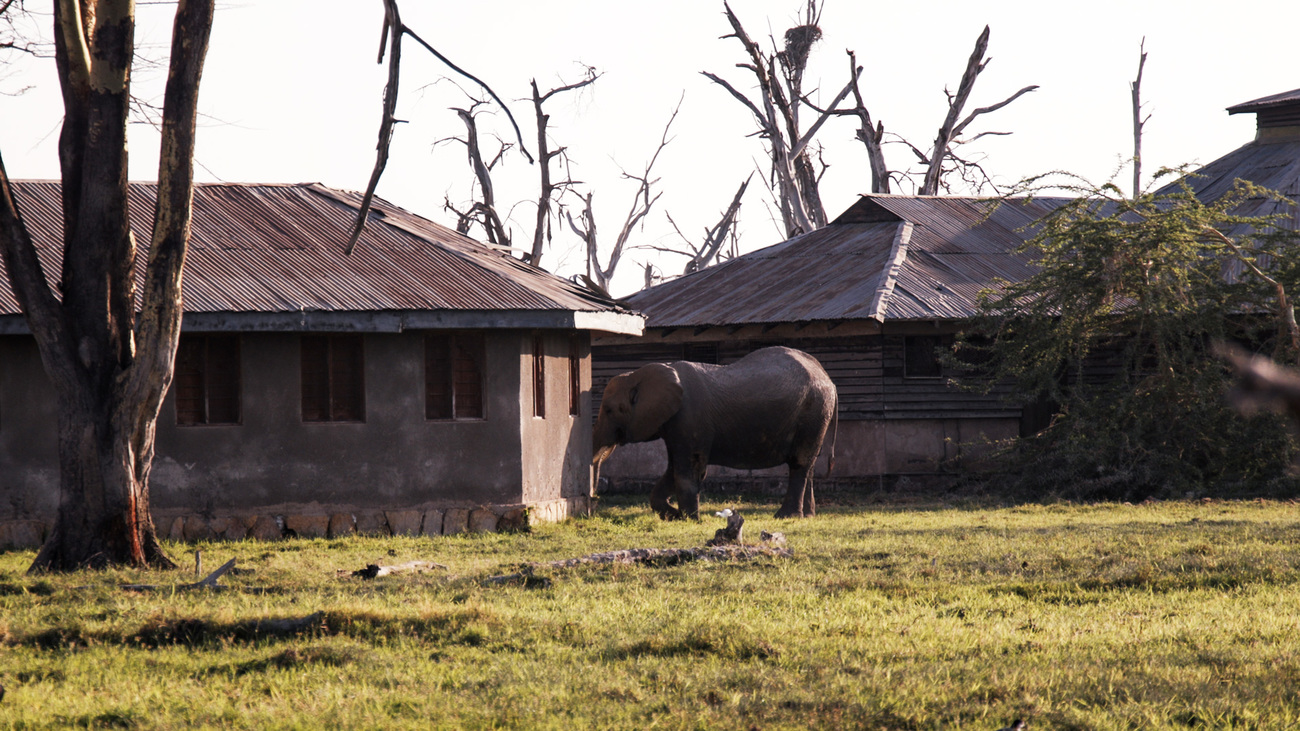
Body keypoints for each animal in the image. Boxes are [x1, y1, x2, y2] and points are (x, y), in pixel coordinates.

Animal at [595, 343, 837, 517]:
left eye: (609, 410)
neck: (640, 374)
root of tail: (828, 379)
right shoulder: (676, 424)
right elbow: (673, 469)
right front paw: (674, 515)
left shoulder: (690, 418)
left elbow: (688, 468)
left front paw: (690, 519)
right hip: (816, 415)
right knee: (808, 465)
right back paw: (807, 516)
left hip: (812, 411)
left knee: (799, 463)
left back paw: (785, 516)